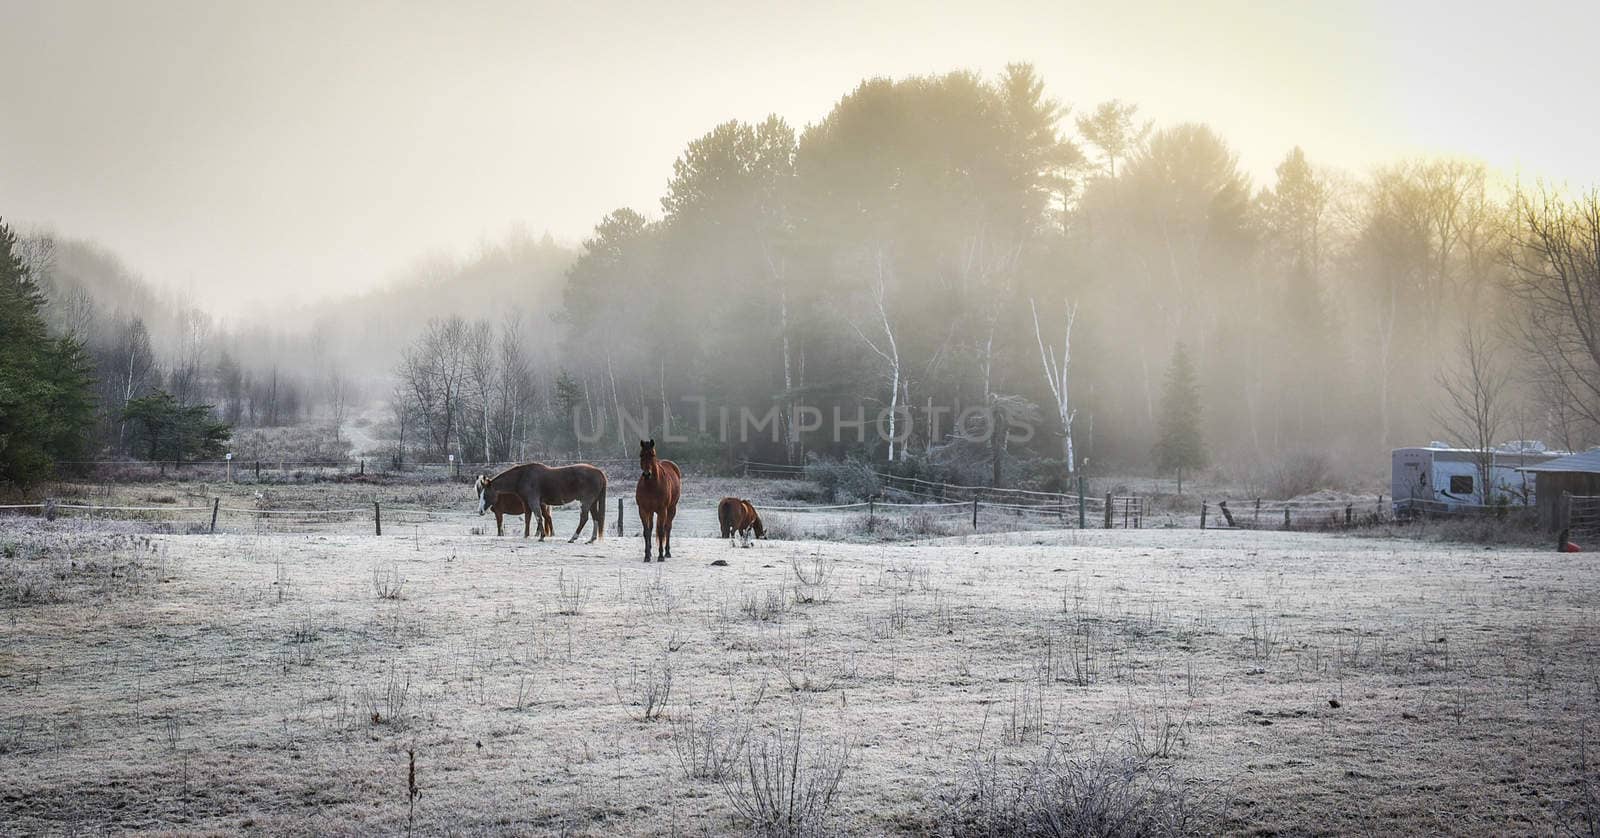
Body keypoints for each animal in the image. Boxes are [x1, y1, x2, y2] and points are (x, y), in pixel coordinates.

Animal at [473, 457, 604, 543]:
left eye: (486, 495)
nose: (480, 511)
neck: (522, 476)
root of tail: (599, 472)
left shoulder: (533, 501)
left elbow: (538, 517)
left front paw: (542, 536)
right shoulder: (526, 503)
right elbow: (528, 518)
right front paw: (526, 536)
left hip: (586, 501)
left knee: (584, 518)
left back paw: (573, 538)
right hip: (592, 502)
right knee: (596, 518)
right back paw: (591, 539)